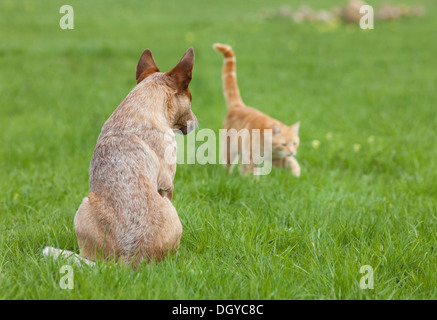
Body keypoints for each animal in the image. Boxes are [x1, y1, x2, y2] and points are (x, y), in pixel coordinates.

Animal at [213, 42, 302, 178]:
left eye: (295, 143)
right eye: (284, 144)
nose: (292, 152)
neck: (270, 147)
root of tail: (239, 106)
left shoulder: (276, 159)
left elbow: (291, 161)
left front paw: (296, 171)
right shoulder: (251, 156)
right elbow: (253, 173)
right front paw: (253, 182)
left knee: (241, 167)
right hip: (230, 149)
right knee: (229, 165)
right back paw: (229, 176)